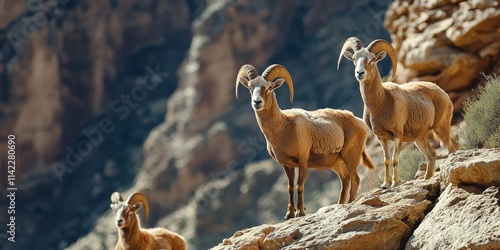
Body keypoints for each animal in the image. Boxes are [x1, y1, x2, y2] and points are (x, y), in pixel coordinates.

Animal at [236, 64, 374, 219]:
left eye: (270, 87)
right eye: (250, 87)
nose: (257, 102)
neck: (284, 127)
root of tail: (359, 121)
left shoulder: (303, 161)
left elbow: (299, 185)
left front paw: (300, 212)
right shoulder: (287, 165)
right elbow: (290, 187)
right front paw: (289, 215)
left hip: (350, 157)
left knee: (355, 179)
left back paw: (350, 203)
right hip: (336, 163)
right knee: (345, 180)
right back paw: (340, 205)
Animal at [338, 37, 458, 188]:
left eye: (372, 59)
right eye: (354, 58)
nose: (360, 73)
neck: (382, 102)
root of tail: (443, 94)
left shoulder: (398, 135)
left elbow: (395, 159)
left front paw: (395, 183)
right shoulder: (382, 138)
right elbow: (387, 160)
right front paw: (385, 184)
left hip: (441, 129)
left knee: (451, 148)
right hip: (420, 139)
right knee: (431, 155)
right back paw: (427, 179)